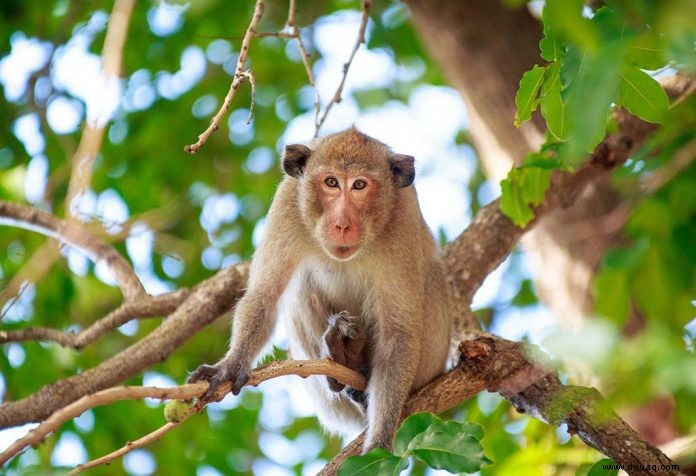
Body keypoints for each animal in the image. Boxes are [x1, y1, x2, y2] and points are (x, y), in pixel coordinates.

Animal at [188, 127, 454, 454]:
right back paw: (343, 359)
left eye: (359, 185)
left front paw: (378, 443)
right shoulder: (288, 202)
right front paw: (231, 364)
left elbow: (398, 333)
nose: (342, 224)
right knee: (300, 286)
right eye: (331, 182)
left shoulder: (403, 217)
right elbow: (264, 294)